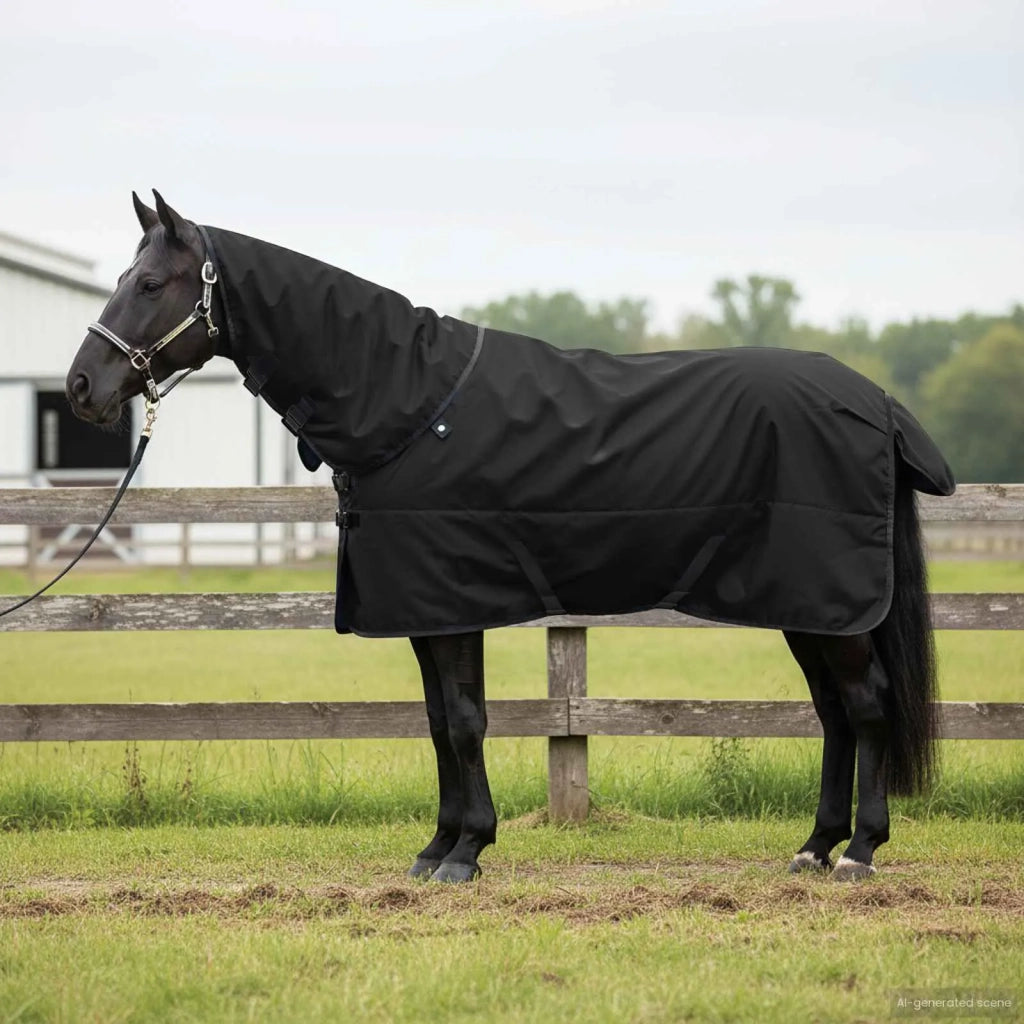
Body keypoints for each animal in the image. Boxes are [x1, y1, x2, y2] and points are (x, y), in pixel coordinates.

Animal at [66, 191, 955, 883]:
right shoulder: (424, 611)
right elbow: (437, 722)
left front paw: (466, 853)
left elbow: (464, 721)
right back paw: (813, 847)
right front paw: (437, 848)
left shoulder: (452, 602)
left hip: (828, 601)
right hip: (809, 607)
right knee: (835, 713)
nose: (81, 387)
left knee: (866, 705)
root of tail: (875, 400)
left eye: (149, 283)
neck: (408, 403)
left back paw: (859, 852)